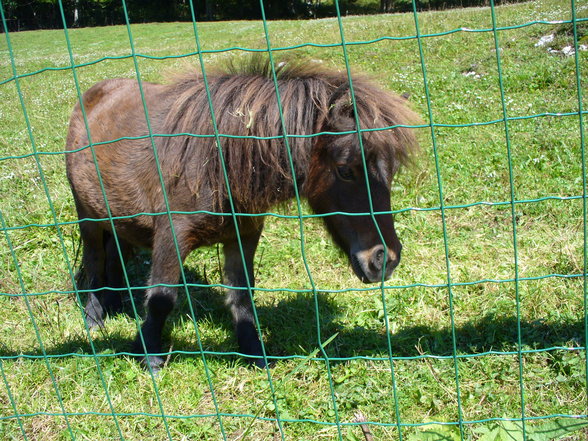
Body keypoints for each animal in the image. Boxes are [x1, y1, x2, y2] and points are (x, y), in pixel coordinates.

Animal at [64, 57, 418, 368]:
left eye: (392, 171)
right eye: (345, 170)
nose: (385, 259)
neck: (216, 164)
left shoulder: (244, 235)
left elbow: (242, 295)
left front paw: (254, 354)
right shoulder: (171, 236)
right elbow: (161, 297)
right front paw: (148, 355)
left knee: (115, 255)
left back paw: (113, 303)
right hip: (88, 217)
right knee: (95, 260)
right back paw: (94, 318)